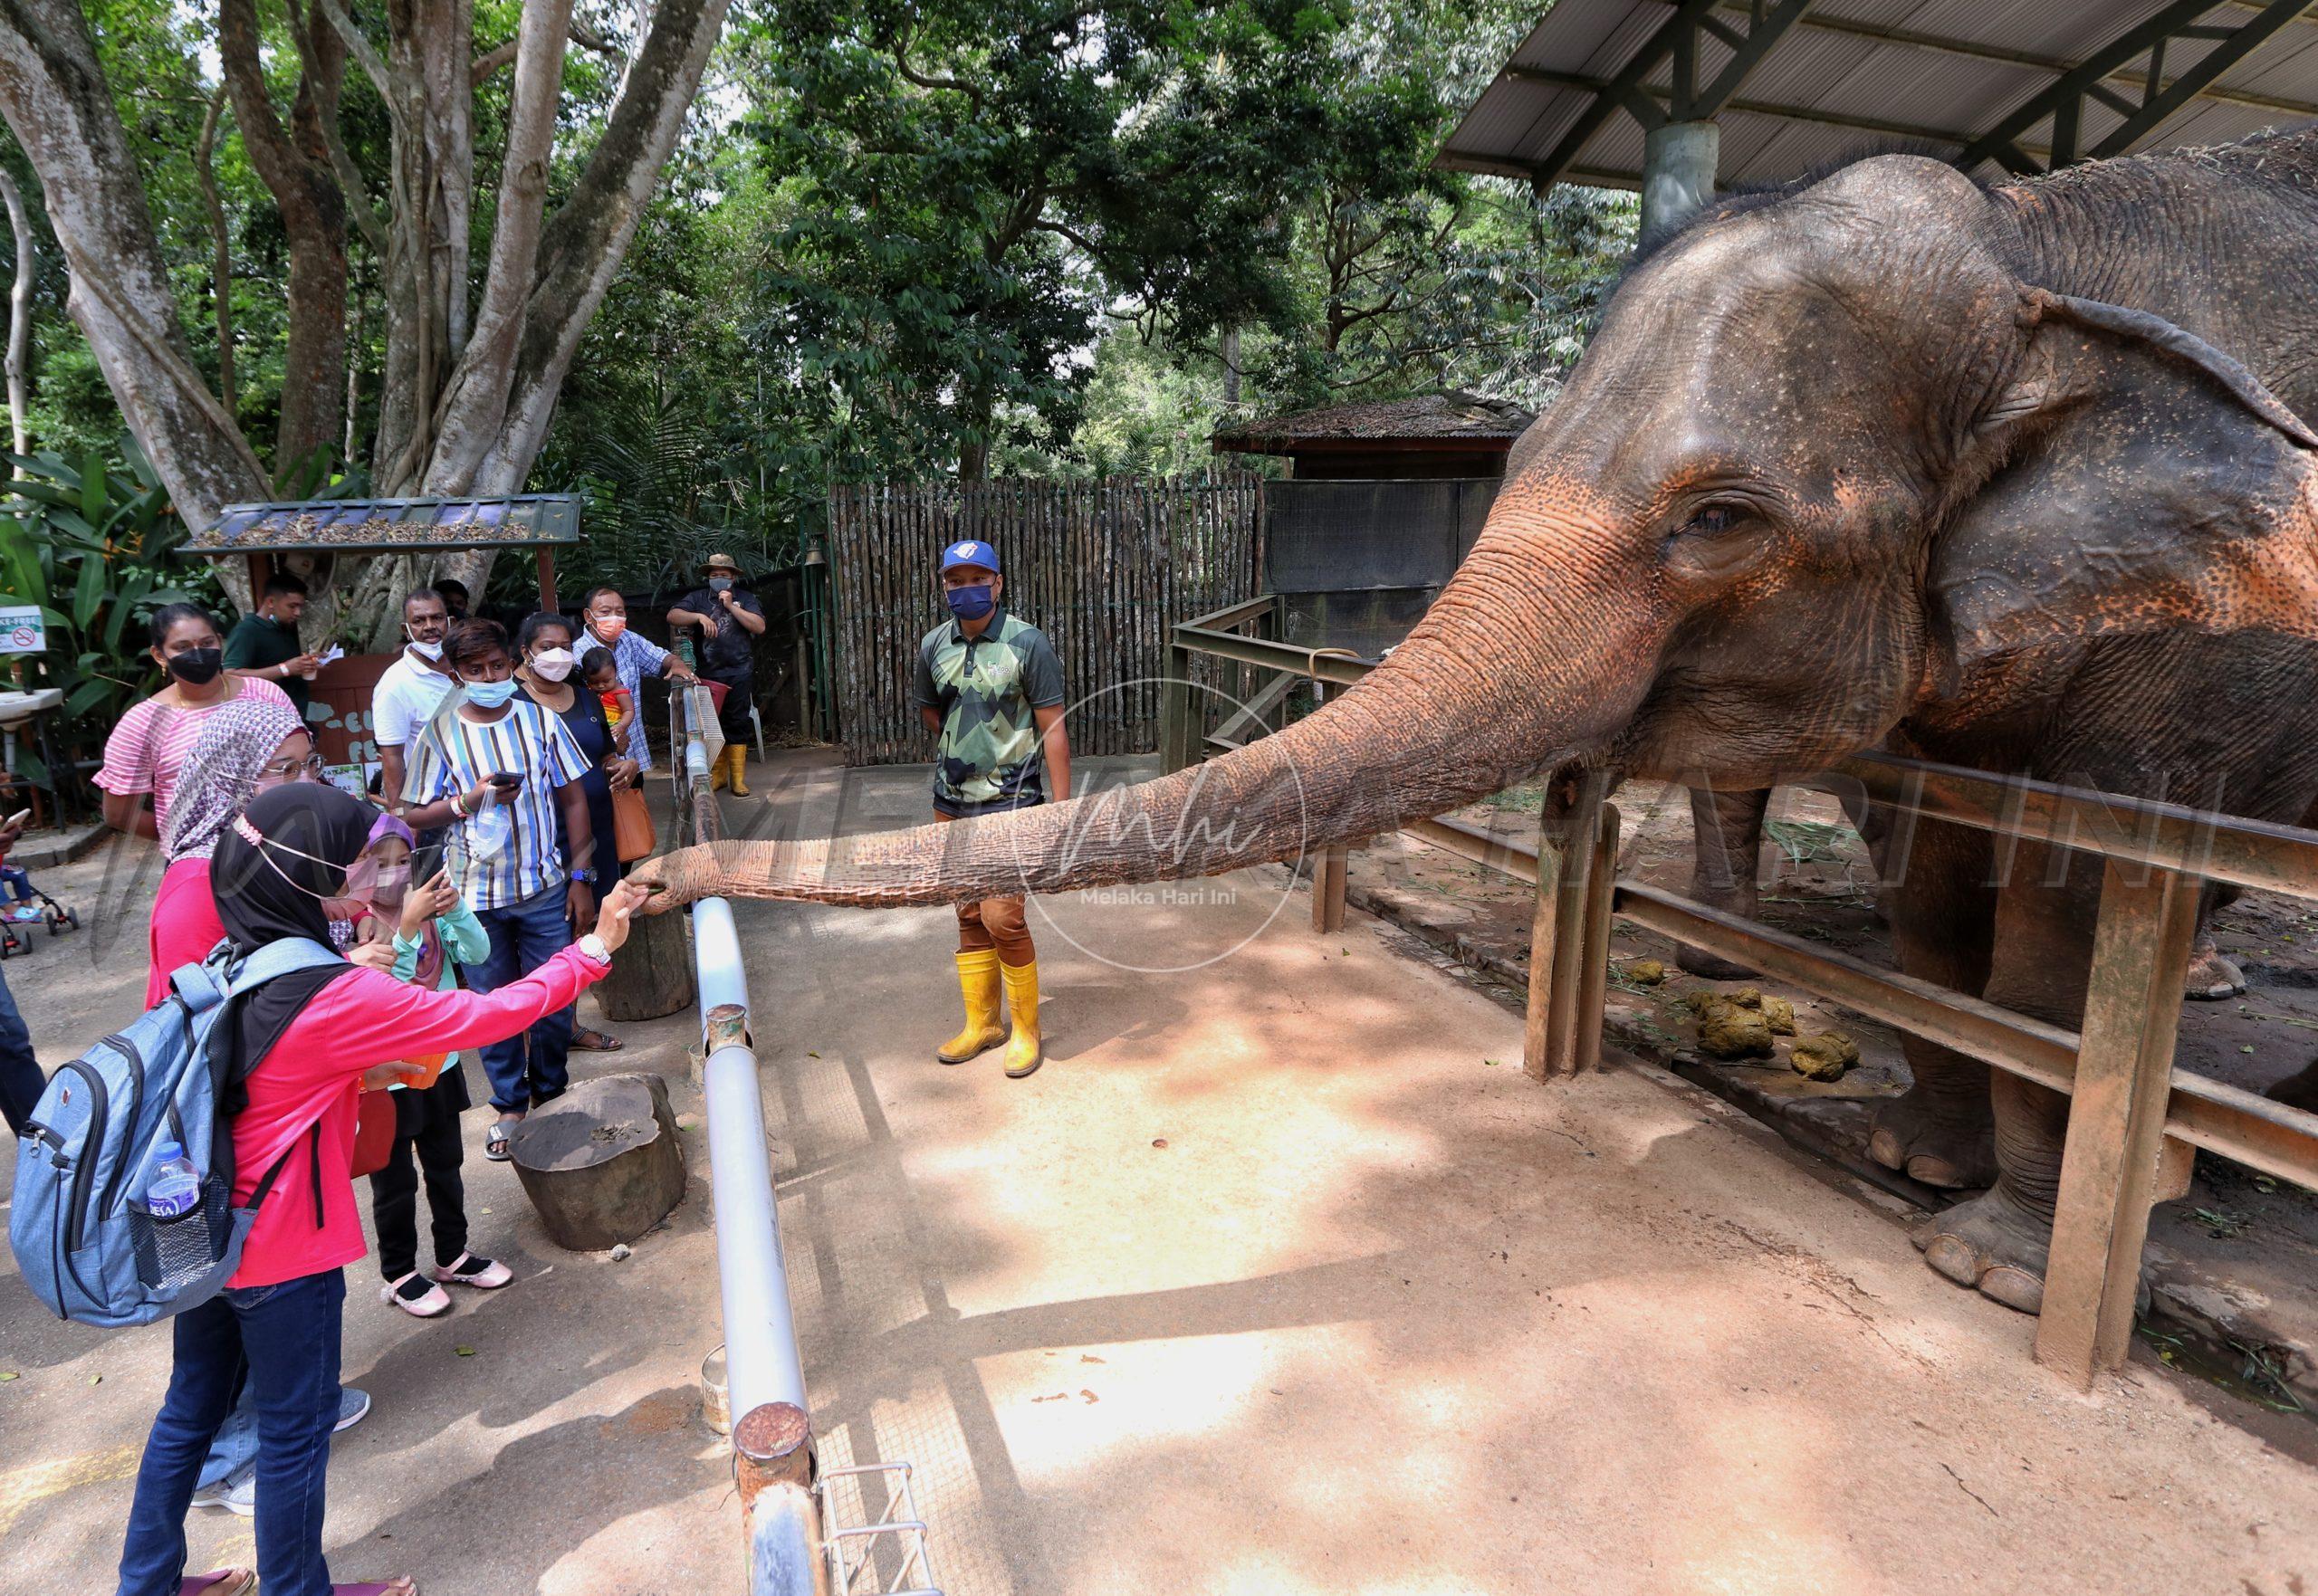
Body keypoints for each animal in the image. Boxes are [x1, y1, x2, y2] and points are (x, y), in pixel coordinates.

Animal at [644, 130, 2318, 1315]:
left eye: (1723, 517)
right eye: (1509, 453)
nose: (642, 885)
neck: (2037, 242)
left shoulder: (2202, 657)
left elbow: (2068, 920)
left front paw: (1985, 1264)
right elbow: (1932, 884)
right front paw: (1919, 1161)